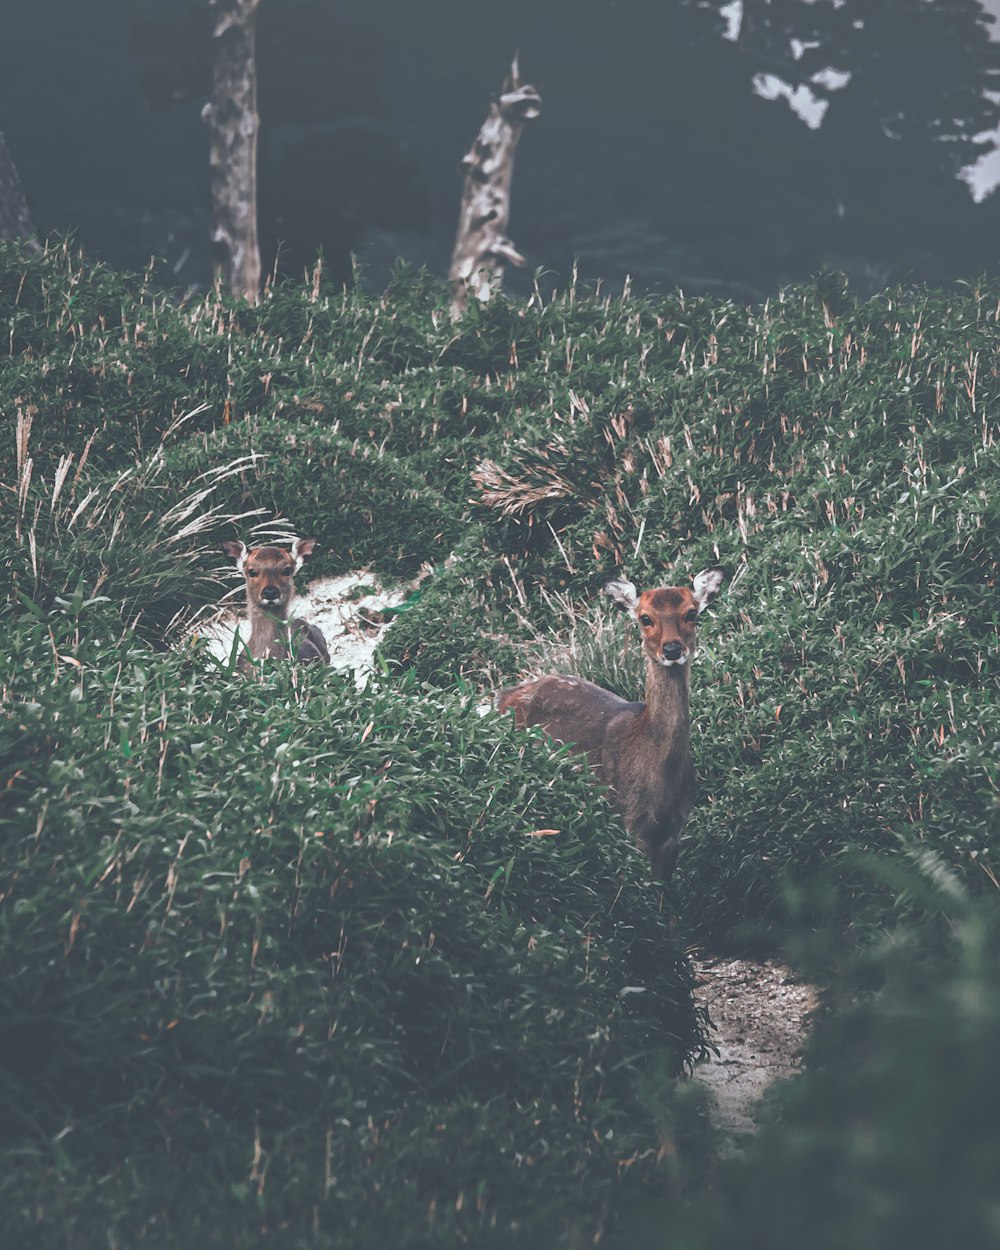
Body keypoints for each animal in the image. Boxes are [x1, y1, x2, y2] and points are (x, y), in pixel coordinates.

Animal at [495, 567, 725, 880]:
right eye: (645, 618)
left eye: (691, 613)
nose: (672, 649)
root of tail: (502, 695)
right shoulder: (627, 823)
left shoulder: (674, 834)